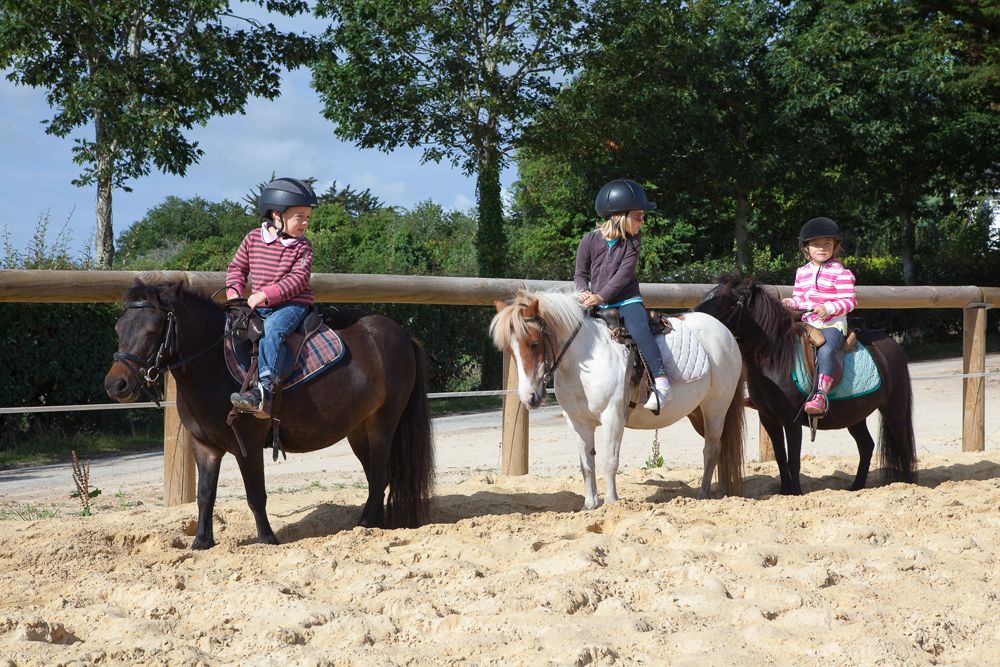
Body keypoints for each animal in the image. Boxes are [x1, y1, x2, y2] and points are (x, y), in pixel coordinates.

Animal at [105, 282, 434, 548]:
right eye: (119, 330)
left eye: (152, 331)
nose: (116, 384)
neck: (214, 365)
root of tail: (403, 335)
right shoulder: (204, 446)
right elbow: (205, 494)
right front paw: (201, 542)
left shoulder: (247, 445)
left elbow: (255, 494)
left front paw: (267, 539)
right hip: (358, 430)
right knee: (377, 475)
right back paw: (375, 524)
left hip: (383, 423)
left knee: (379, 474)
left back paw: (364, 525)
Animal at [488, 290, 748, 508]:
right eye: (509, 350)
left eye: (533, 343)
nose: (529, 397)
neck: (584, 361)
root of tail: (724, 331)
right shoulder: (577, 422)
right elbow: (586, 464)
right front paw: (590, 505)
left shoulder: (613, 417)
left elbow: (609, 461)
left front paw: (612, 503)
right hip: (696, 412)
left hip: (716, 407)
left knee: (711, 449)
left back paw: (703, 494)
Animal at [696, 276, 916, 496]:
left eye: (729, 301)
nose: (697, 316)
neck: (776, 357)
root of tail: (891, 344)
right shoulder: (769, 419)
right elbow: (780, 457)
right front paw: (784, 491)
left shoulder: (791, 420)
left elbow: (793, 459)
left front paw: (795, 492)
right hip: (855, 415)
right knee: (866, 446)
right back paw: (856, 487)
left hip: (894, 407)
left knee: (902, 445)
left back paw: (908, 483)